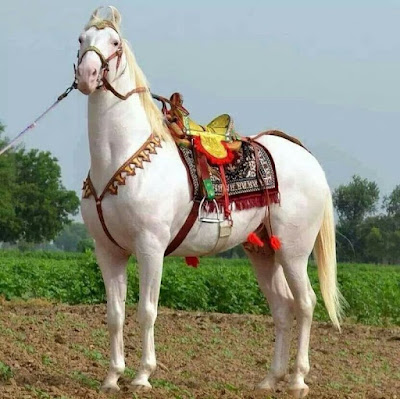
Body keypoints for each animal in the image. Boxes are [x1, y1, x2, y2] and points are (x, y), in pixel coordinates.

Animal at [75, 7, 344, 399]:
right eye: (82, 39)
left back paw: (297, 380)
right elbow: (115, 315)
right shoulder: (108, 251)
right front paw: (112, 377)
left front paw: (142, 376)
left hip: (294, 250)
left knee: (306, 303)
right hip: (263, 251)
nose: (87, 75)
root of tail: (305, 156)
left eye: (114, 43)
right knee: (282, 308)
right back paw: (269, 379)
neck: (118, 157)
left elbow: (146, 311)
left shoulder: (150, 247)